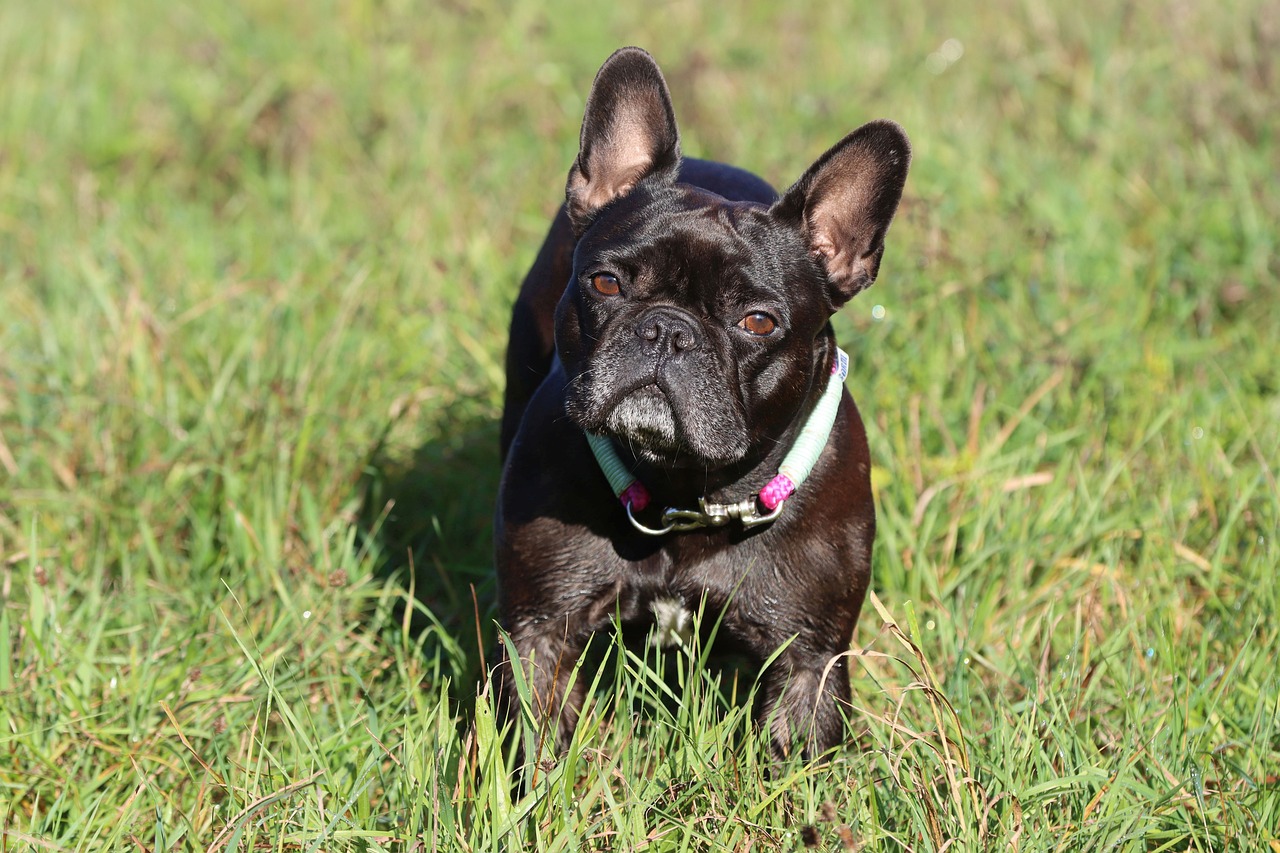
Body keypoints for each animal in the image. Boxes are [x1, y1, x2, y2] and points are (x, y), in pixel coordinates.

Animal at [491, 46, 911, 753]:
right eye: (606, 282)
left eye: (758, 322)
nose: (668, 329)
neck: (685, 491)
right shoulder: (540, 633)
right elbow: (535, 743)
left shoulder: (807, 662)